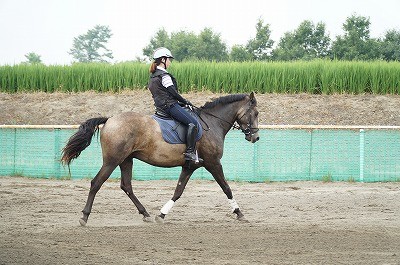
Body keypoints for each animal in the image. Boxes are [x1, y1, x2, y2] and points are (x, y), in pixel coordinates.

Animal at [59, 91, 260, 225]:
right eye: (256, 113)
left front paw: (161, 215)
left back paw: (145, 214)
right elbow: (227, 188)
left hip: (126, 160)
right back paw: (84, 216)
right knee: (96, 183)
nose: (256, 137)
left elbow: (178, 191)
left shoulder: (190, 166)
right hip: (112, 161)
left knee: (126, 186)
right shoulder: (213, 163)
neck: (212, 123)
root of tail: (109, 120)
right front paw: (239, 213)